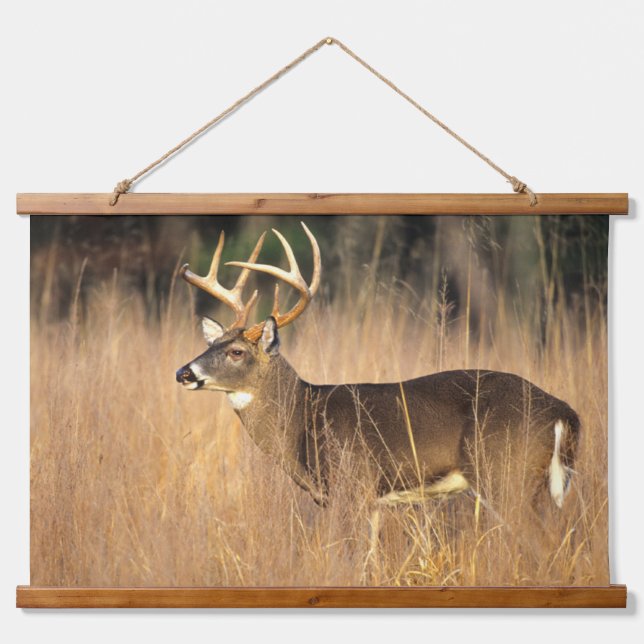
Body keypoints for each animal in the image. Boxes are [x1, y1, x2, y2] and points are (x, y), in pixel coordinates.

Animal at [176, 223, 580, 547]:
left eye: (237, 352)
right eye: (210, 345)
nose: (184, 373)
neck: (302, 418)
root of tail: (563, 412)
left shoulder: (351, 483)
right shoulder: (370, 500)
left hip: (505, 474)